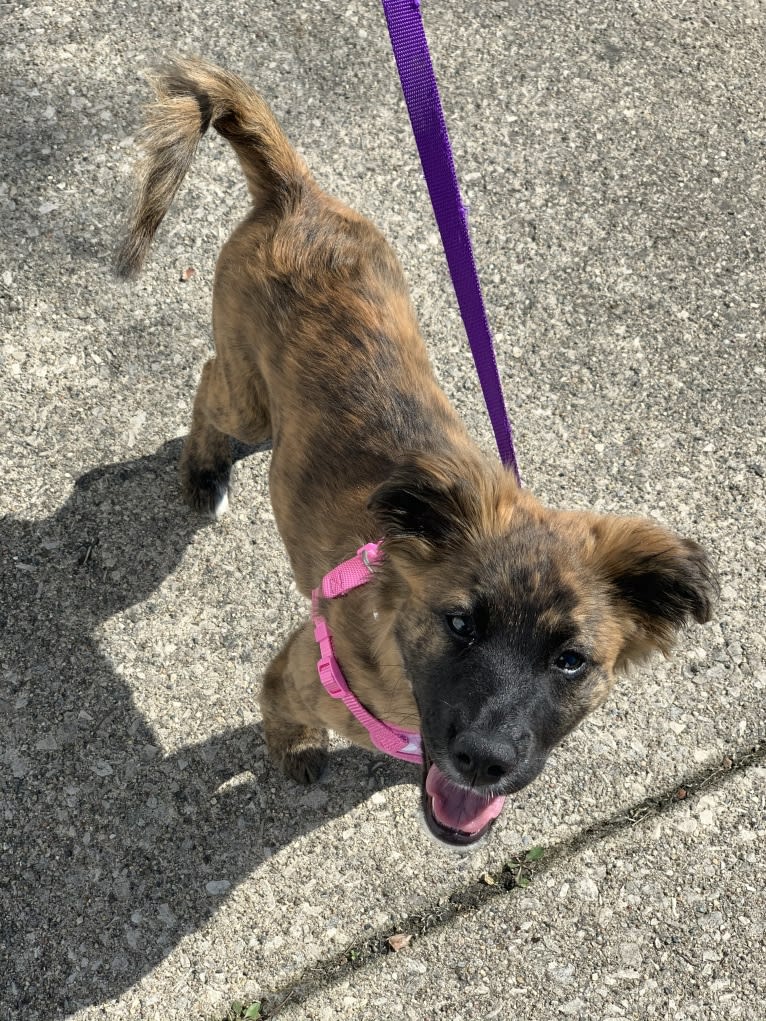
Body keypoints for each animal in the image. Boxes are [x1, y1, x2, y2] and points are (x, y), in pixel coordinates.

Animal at [115, 57, 719, 853]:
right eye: (460, 624)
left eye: (571, 660)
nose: (485, 761)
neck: (394, 641)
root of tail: (296, 195)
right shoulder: (294, 672)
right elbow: (280, 713)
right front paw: (293, 751)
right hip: (244, 392)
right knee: (213, 382)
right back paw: (203, 471)